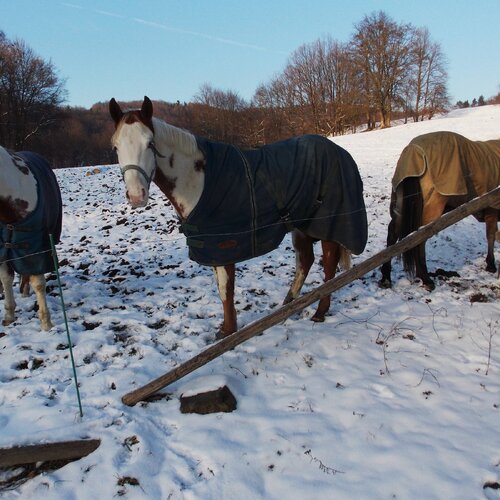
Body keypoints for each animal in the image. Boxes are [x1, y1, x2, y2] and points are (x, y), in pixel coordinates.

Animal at [0, 146, 62, 332]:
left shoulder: (37, 249)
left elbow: (39, 283)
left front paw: (46, 324)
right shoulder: (3, 248)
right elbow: (6, 278)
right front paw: (9, 316)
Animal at [109, 96, 368, 340]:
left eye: (150, 143)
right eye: (115, 147)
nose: (136, 196)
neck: (199, 180)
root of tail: (339, 151)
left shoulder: (224, 245)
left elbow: (226, 290)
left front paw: (228, 332)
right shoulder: (213, 248)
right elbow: (222, 289)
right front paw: (226, 329)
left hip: (329, 224)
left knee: (329, 265)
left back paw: (319, 311)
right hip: (302, 226)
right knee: (305, 261)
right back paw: (288, 305)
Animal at [378, 131, 500, 292]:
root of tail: (412, 151)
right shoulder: (492, 207)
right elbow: (491, 235)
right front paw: (491, 264)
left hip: (401, 207)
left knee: (394, 234)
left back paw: (386, 277)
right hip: (431, 208)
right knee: (419, 238)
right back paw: (425, 278)